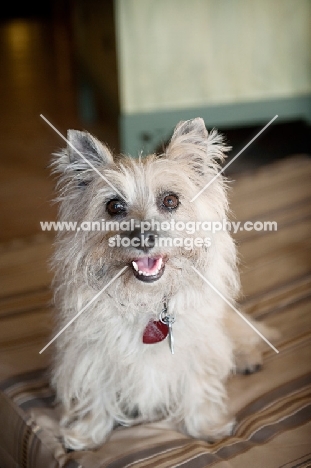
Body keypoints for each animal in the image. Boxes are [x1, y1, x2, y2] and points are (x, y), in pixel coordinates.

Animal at [50, 118, 276, 450]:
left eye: (171, 200)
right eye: (114, 206)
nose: (143, 237)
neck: (148, 300)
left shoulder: (197, 348)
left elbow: (199, 385)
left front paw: (206, 427)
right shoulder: (93, 354)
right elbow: (96, 393)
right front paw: (87, 434)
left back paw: (247, 358)